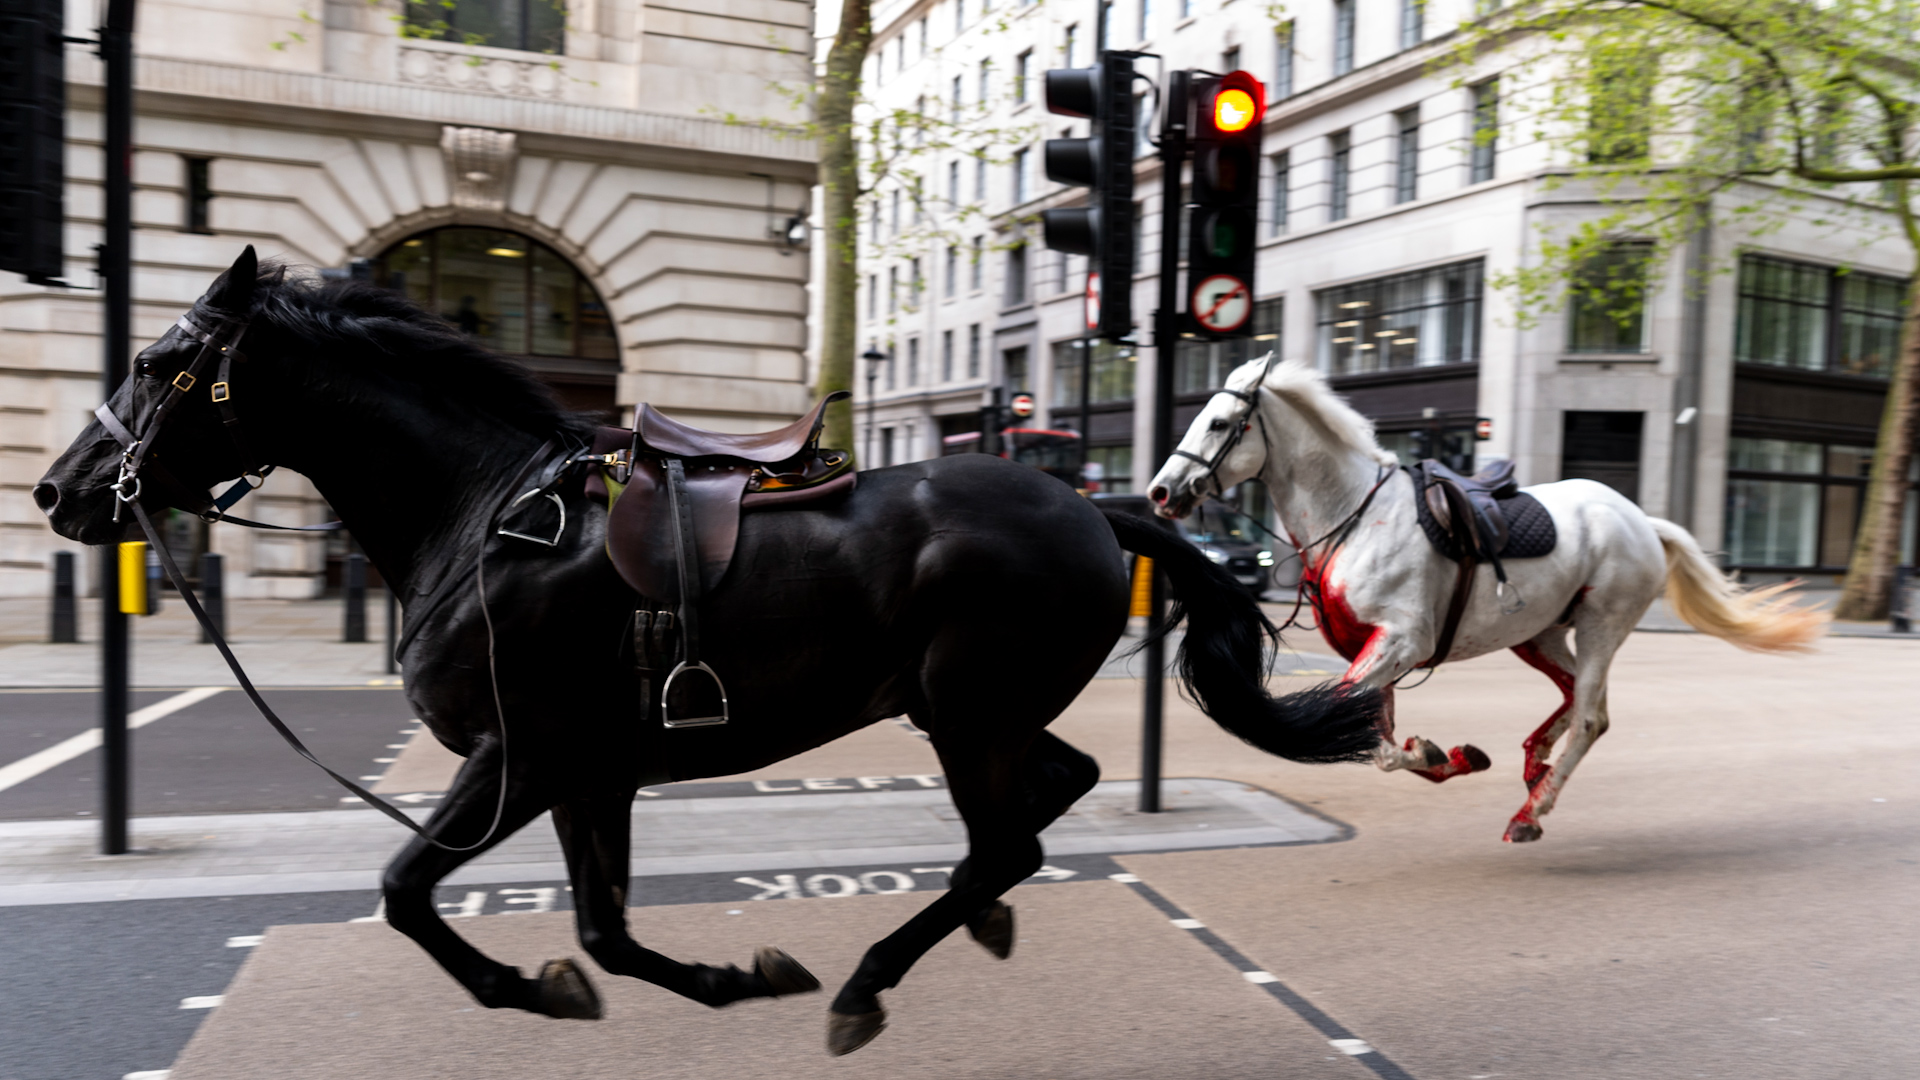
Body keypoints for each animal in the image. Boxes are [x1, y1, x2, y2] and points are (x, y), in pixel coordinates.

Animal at [34, 249, 1386, 1054]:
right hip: (972, 710)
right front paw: (721, 978)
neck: (483, 516)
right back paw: (972, 925)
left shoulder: (520, 757)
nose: (59, 492)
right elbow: (603, 931)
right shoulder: (590, 772)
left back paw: (870, 981)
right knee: (1050, 799)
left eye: (157, 362)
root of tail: (1096, 509)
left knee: (1009, 836)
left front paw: (526, 988)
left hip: (965, 710)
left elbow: (410, 889)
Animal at [1146, 354, 1826, 843]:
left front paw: (1433, 752)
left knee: (1591, 715)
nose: (1160, 491)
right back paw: (1535, 764)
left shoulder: (1401, 641)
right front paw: (1446, 755)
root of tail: (1639, 518)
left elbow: (1371, 738)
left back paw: (1531, 811)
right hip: (1540, 633)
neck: (1355, 516)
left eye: (1217, 422)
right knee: (1578, 696)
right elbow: (1376, 734)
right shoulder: (1376, 648)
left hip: (1602, 623)